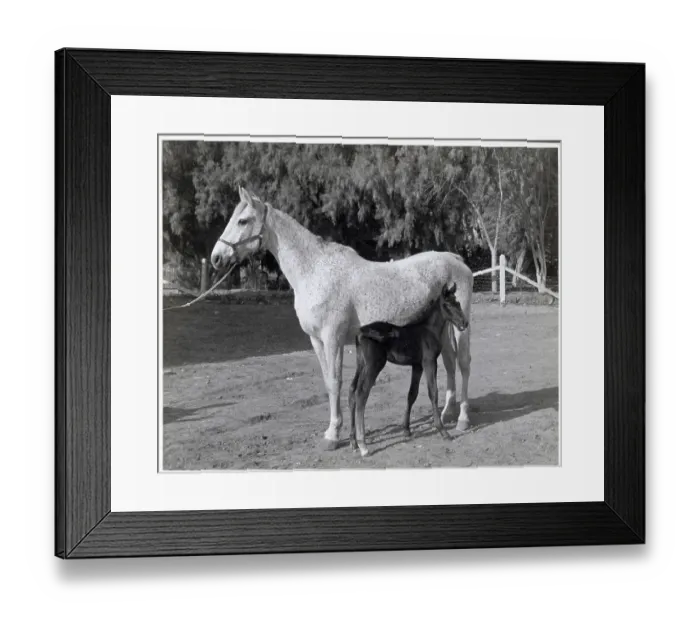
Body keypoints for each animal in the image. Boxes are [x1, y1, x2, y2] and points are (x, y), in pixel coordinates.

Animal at [348, 282, 469, 457]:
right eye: (447, 305)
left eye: (458, 303)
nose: (464, 323)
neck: (428, 329)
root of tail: (360, 331)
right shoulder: (429, 362)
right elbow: (433, 393)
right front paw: (442, 431)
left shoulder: (417, 365)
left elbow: (412, 394)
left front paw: (406, 430)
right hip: (374, 365)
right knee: (361, 394)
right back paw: (363, 445)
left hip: (361, 364)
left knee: (352, 391)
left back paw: (353, 442)